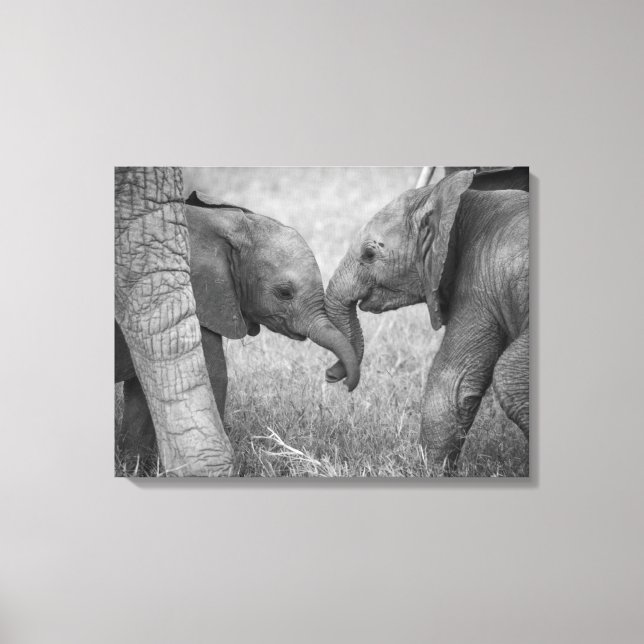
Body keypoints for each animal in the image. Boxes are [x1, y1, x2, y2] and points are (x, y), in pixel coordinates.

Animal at [324, 167, 529, 472]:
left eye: (369, 254)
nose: (330, 376)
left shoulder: (478, 287)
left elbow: (451, 382)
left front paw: (425, 472)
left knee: (509, 376)